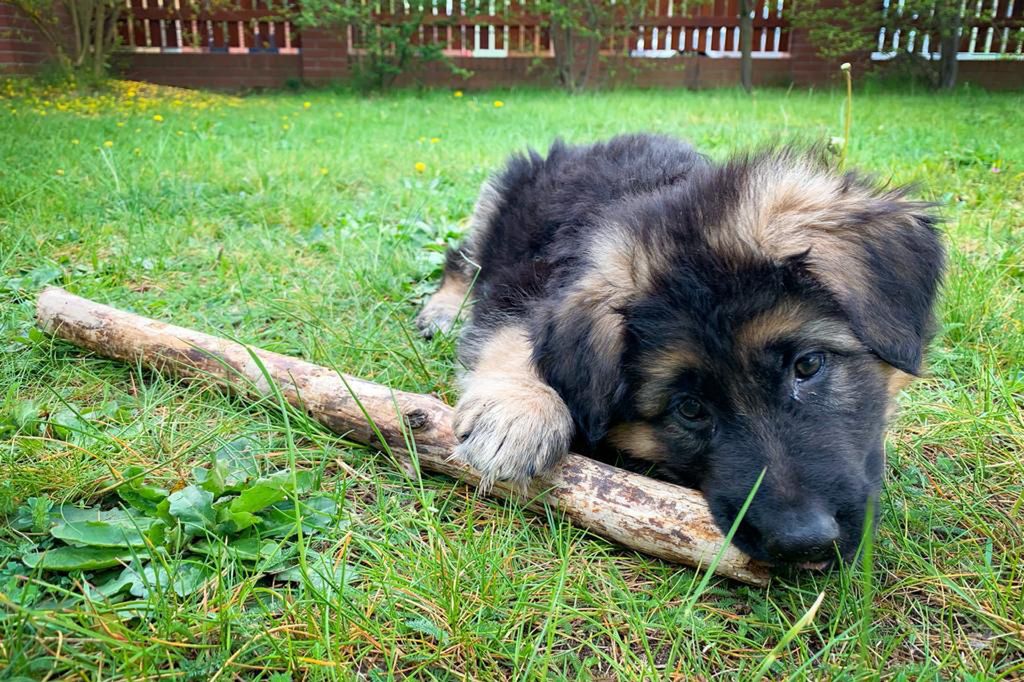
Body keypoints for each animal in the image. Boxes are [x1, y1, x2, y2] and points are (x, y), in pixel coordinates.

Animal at [415, 134, 942, 569]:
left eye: (808, 365)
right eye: (689, 409)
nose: (804, 543)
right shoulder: (521, 283)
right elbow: (511, 328)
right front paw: (518, 410)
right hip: (499, 207)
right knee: (461, 259)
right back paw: (441, 312)